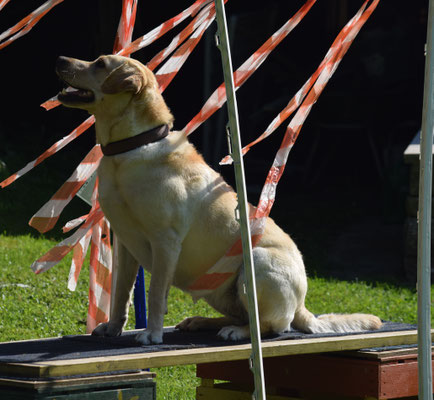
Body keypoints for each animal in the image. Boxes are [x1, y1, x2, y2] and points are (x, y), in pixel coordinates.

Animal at [55, 54, 384, 346]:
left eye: (100, 64)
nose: (60, 60)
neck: (131, 147)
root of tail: (303, 307)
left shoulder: (165, 241)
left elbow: (156, 292)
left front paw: (152, 334)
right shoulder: (124, 242)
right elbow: (120, 294)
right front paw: (112, 328)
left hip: (256, 264)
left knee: (270, 326)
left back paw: (236, 332)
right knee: (246, 316)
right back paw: (201, 322)